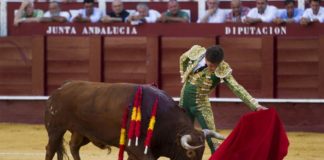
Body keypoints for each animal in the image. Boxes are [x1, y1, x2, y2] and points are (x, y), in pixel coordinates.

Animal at [44, 81, 224, 160]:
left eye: (202, 151)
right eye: (190, 153)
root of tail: (57, 91)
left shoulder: (138, 151)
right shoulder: (138, 148)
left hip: (81, 132)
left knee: (74, 147)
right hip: (55, 129)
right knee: (50, 149)